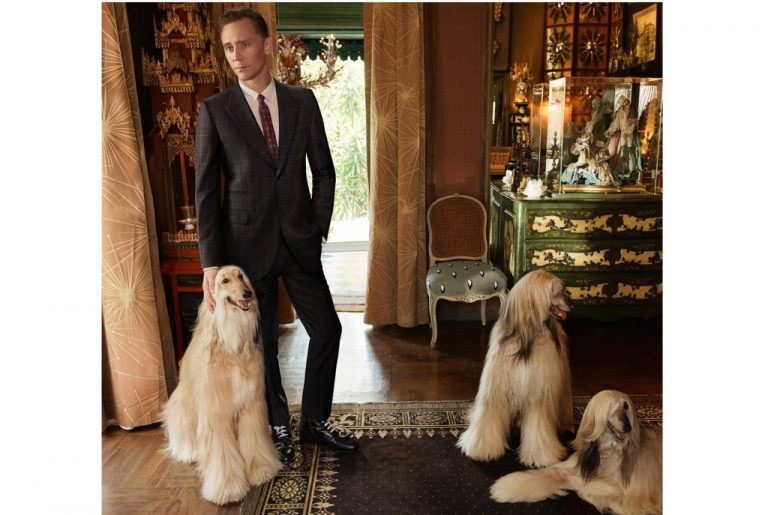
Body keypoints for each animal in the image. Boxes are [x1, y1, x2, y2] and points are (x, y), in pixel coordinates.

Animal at [161, 265, 283, 505]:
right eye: (224, 280)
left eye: (241, 276)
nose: (248, 294)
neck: (232, 347)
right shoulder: (215, 413)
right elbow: (221, 454)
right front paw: (227, 488)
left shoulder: (251, 405)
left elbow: (254, 440)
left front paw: (261, 470)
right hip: (184, 407)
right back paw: (188, 451)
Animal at [457, 269, 574, 467]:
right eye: (557, 290)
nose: (572, 304)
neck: (525, 341)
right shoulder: (495, 388)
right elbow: (488, 416)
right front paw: (482, 448)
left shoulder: (538, 391)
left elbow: (538, 424)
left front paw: (540, 455)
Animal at [490, 390, 662, 515]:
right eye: (611, 408)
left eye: (626, 406)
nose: (628, 428)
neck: (609, 451)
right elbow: (552, 472)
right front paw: (509, 486)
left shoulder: (625, 490)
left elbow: (577, 483)